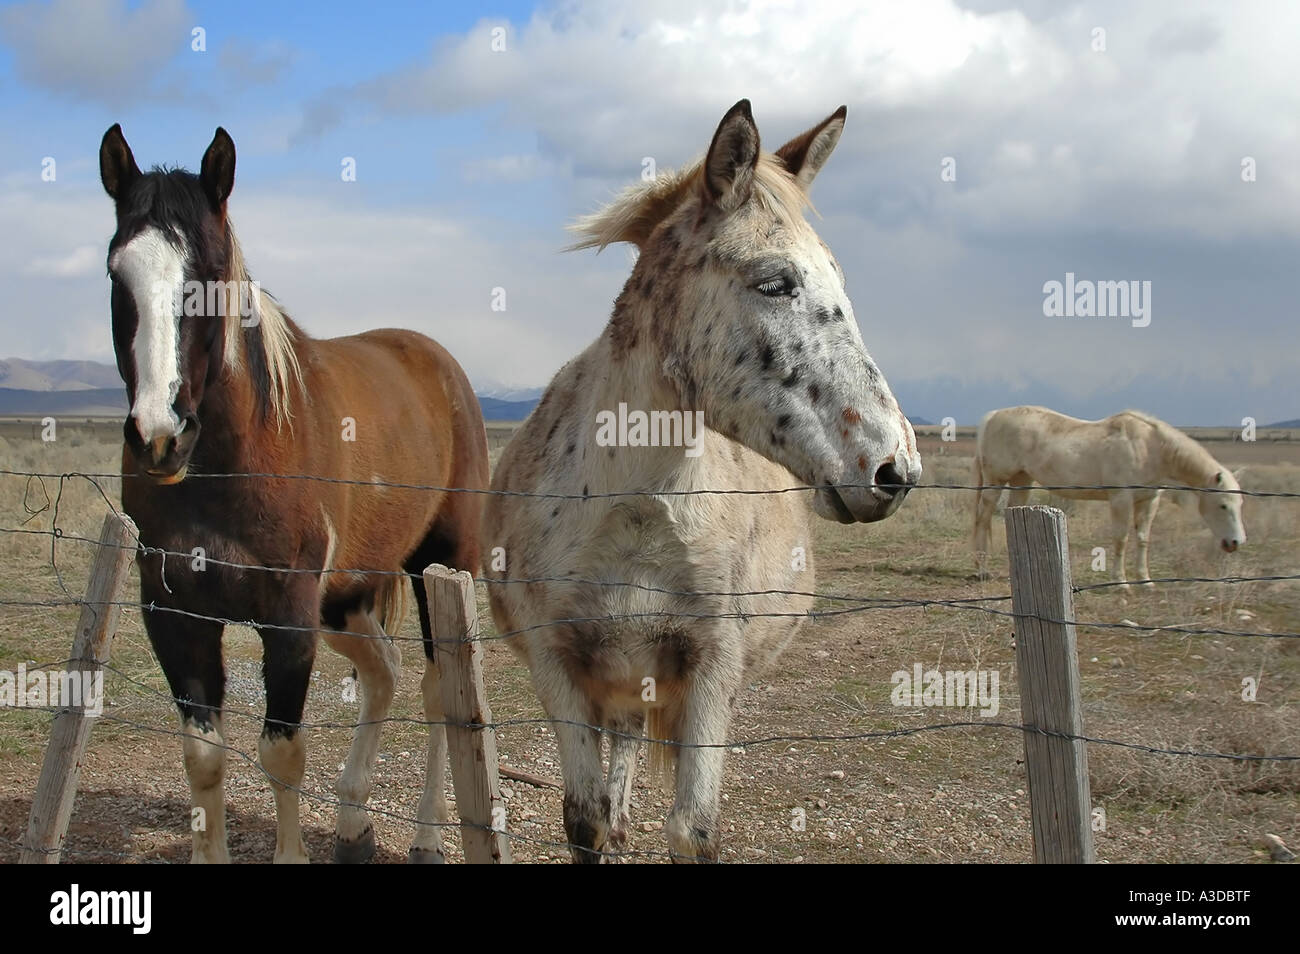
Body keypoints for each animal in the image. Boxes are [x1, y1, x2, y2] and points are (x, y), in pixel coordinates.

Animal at [99, 125, 489, 863]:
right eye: (117, 274)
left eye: (211, 275)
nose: (160, 435)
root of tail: (435, 358)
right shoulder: (174, 615)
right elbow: (204, 759)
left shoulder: (287, 618)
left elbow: (281, 754)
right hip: (344, 597)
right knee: (384, 672)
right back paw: (353, 823)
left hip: (440, 568)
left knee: (435, 690)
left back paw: (425, 834)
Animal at [482, 100, 920, 862]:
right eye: (775, 282)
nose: (894, 467)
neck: (634, 508)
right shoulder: (556, 663)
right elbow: (583, 817)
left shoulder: (714, 666)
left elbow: (693, 829)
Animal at [973, 406, 1245, 584]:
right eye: (1223, 505)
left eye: (1239, 503)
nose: (1235, 542)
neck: (1149, 448)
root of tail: (992, 416)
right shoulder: (1121, 499)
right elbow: (1121, 539)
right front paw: (1121, 582)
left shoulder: (1149, 501)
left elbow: (1143, 538)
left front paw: (1144, 580)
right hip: (995, 481)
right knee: (983, 519)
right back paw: (981, 569)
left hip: (1022, 480)